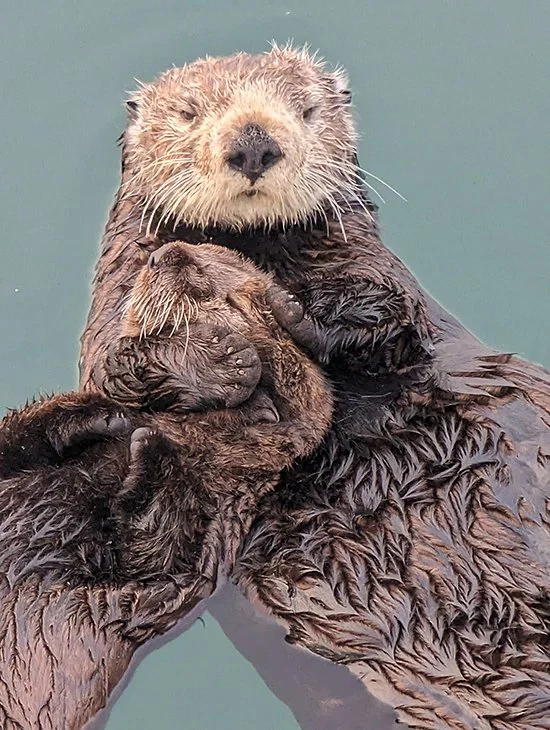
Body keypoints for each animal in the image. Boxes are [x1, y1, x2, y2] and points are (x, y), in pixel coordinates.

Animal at [0, 241, 331, 729]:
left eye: (213, 284)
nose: (168, 252)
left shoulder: (210, 534)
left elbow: (151, 551)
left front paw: (151, 446)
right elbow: (26, 428)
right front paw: (108, 411)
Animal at [79, 47, 550, 729]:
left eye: (303, 108)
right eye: (189, 112)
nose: (253, 141)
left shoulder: (372, 273)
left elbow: (390, 319)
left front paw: (296, 313)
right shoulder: (115, 297)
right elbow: (116, 371)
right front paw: (219, 358)